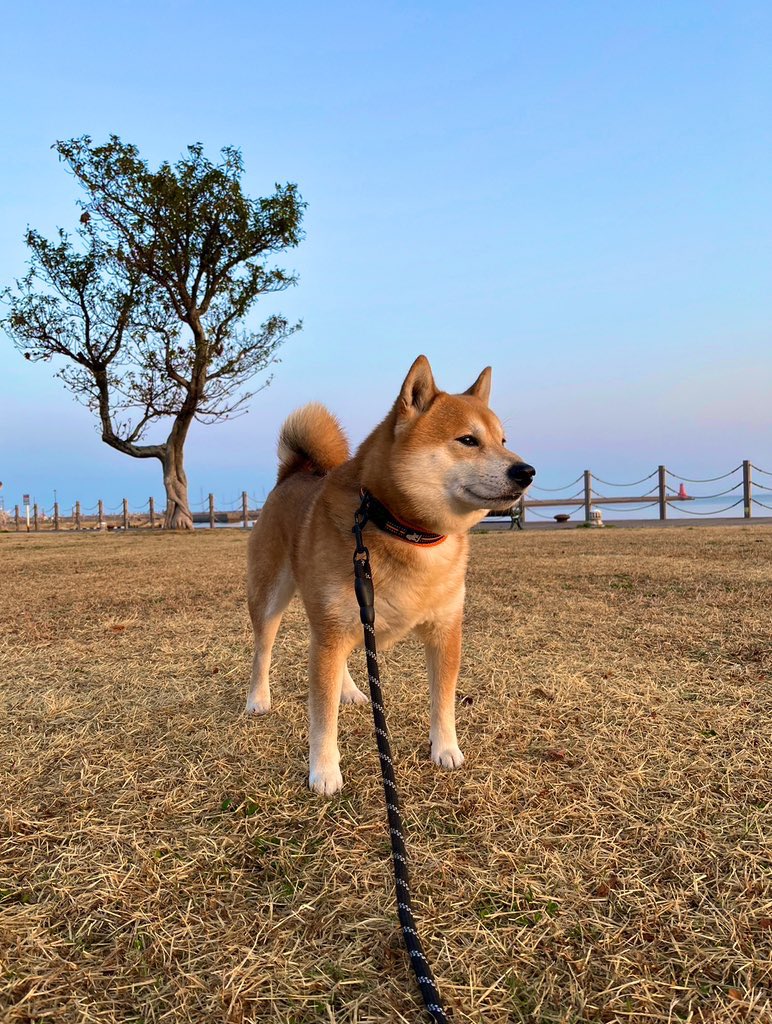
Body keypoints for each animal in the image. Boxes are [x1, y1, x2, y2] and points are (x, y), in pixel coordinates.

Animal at [243, 356, 532, 794]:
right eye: (468, 440)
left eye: (503, 440)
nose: (526, 471)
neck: (407, 532)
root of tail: (293, 474)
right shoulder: (333, 628)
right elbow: (322, 715)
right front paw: (324, 771)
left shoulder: (445, 630)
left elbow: (443, 700)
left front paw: (445, 749)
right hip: (273, 596)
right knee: (263, 648)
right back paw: (258, 699)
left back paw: (349, 690)